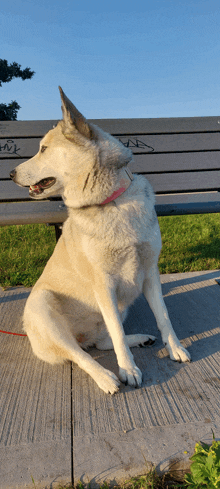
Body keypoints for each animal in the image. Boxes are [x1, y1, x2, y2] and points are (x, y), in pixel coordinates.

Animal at [9, 87, 191, 392]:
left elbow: (163, 316)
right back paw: (106, 377)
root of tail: (84, 336)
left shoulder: (150, 272)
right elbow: (116, 333)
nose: (10, 174)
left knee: (102, 343)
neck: (111, 203)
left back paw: (139, 338)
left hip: (120, 305)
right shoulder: (104, 284)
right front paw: (128, 369)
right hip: (43, 306)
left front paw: (174, 348)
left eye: (43, 149)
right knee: (80, 354)